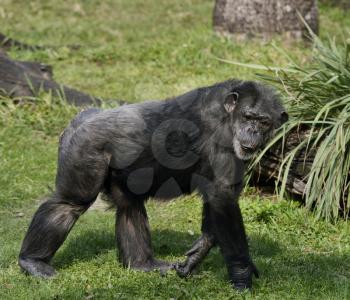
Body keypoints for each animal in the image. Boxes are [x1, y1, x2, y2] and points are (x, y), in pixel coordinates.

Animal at [18, 78, 288, 290]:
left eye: (264, 122)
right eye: (248, 116)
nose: (252, 131)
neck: (229, 115)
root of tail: (80, 117)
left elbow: (218, 199)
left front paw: (196, 255)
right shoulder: (221, 135)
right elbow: (222, 196)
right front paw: (242, 275)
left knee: (129, 207)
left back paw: (142, 265)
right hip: (84, 149)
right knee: (68, 204)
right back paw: (33, 262)